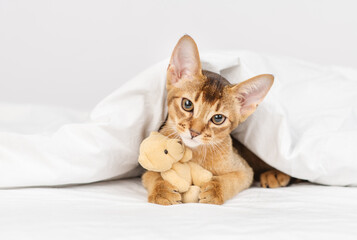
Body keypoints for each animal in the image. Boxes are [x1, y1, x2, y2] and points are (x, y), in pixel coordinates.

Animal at [140, 35, 290, 204]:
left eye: (218, 118)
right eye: (187, 104)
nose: (194, 132)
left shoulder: (244, 170)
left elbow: (231, 180)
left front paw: (215, 190)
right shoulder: (146, 172)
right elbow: (153, 175)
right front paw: (161, 191)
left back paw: (275, 174)